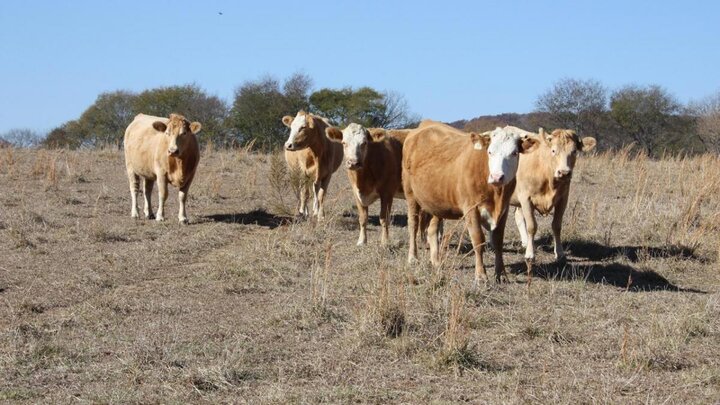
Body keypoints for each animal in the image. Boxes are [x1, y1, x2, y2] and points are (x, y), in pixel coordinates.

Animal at [402, 121, 536, 282]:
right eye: (490, 152)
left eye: (514, 153)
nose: (497, 177)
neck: (495, 194)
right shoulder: (471, 208)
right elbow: (478, 240)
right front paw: (481, 275)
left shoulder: (504, 209)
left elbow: (498, 241)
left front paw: (501, 274)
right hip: (411, 196)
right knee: (413, 226)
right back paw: (413, 258)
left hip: (436, 202)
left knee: (432, 230)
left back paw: (436, 262)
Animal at [512, 128, 596, 260]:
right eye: (553, 150)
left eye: (574, 151)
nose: (564, 172)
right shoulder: (526, 198)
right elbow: (532, 226)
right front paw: (530, 253)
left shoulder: (563, 199)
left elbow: (556, 226)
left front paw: (560, 252)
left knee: (518, 216)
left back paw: (525, 242)